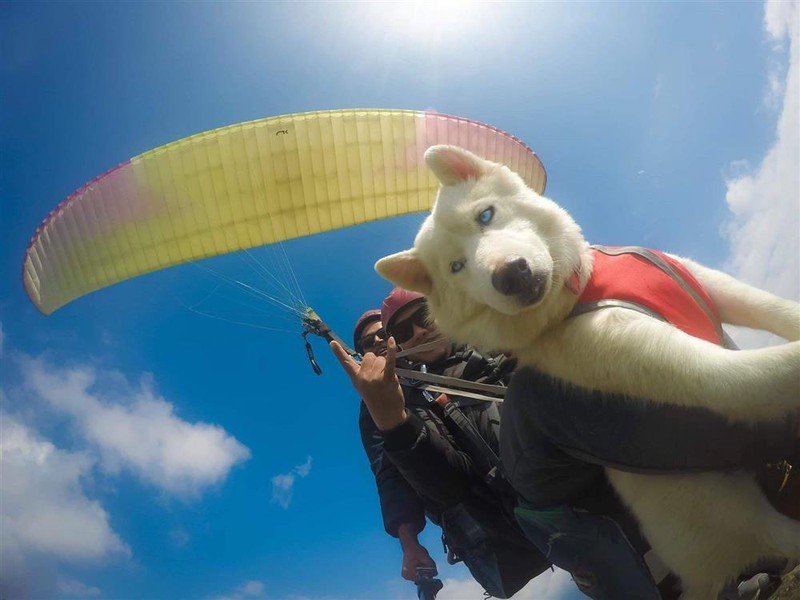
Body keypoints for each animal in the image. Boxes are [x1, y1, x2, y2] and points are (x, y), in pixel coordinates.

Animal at [376, 145, 800, 600]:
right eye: (456, 267)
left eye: (485, 215)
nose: (510, 274)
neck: (579, 290)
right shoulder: (695, 372)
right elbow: (770, 368)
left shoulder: (713, 286)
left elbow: (776, 309)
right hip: (737, 515)